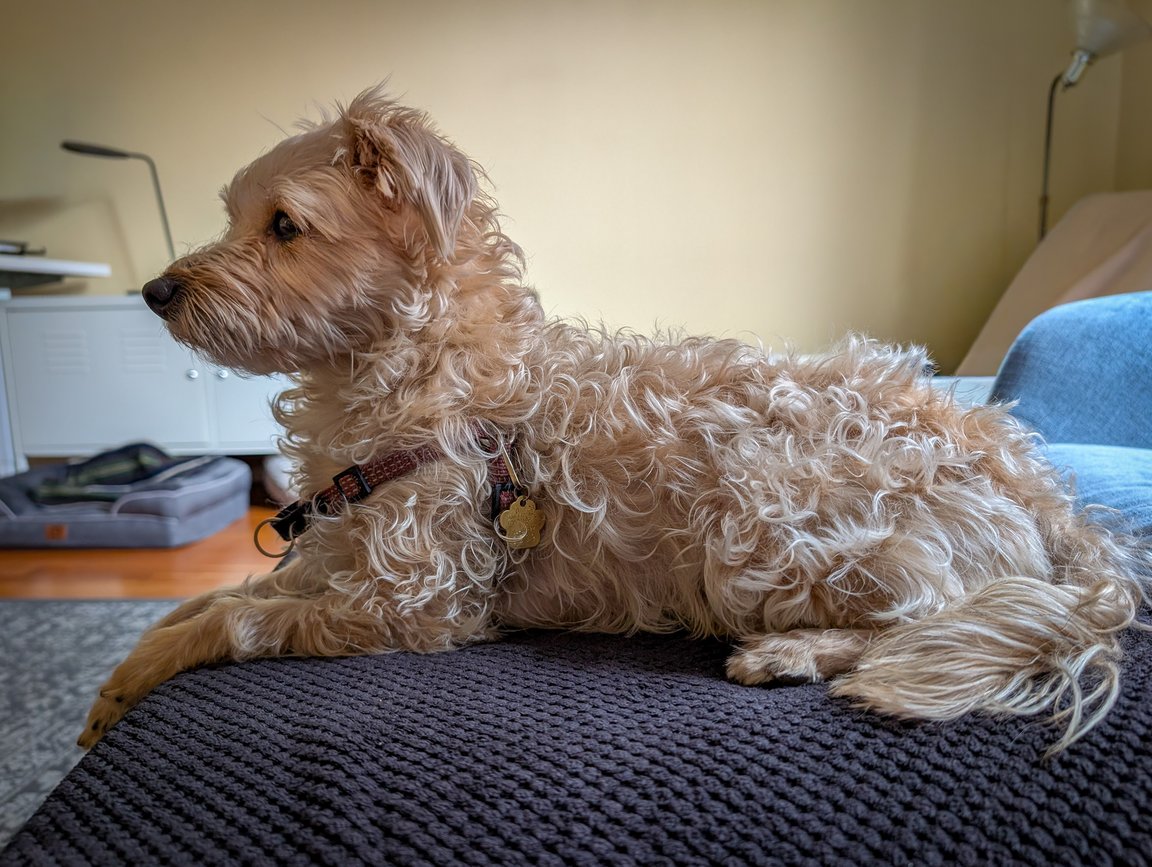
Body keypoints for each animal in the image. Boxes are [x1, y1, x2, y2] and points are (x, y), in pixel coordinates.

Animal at [80, 86, 1149, 753]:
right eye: (233, 213)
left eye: (285, 227)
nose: (155, 291)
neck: (405, 376)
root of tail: (1049, 493)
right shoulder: (334, 556)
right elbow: (207, 598)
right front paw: (116, 681)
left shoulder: (411, 599)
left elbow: (239, 621)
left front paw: (149, 668)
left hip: (763, 514)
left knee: (929, 609)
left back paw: (794, 650)